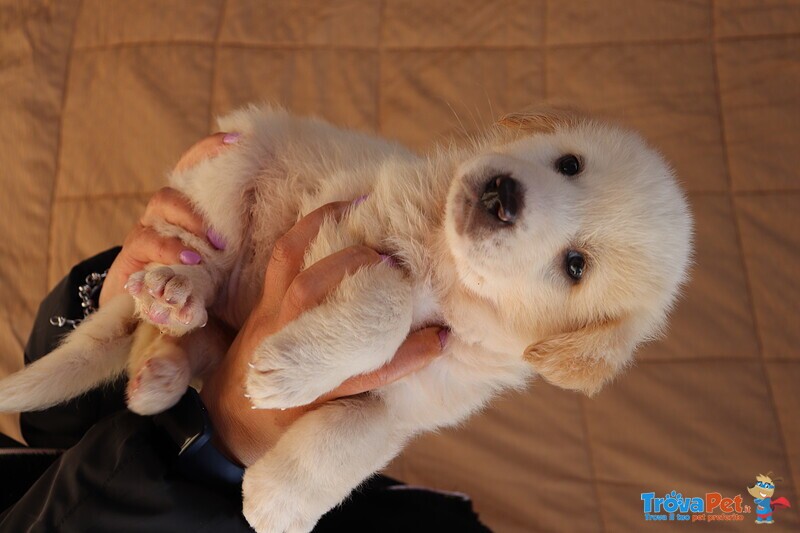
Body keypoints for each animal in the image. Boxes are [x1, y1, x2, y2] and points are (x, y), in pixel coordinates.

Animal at [0, 105, 688, 532]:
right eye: (569, 163)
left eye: (576, 266)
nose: (503, 196)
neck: (446, 274)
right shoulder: (348, 230)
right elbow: (387, 303)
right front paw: (288, 374)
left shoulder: (404, 402)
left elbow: (348, 447)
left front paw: (277, 502)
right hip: (228, 172)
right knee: (186, 269)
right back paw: (175, 289)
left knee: (176, 337)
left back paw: (162, 376)